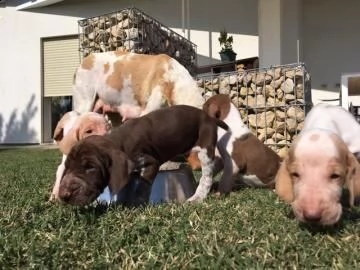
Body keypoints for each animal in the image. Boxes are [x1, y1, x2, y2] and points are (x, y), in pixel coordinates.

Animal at [58, 104, 229, 206]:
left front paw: (137, 204)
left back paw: (197, 197)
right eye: (68, 167)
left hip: (205, 148)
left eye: (90, 168)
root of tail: (209, 117)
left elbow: (142, 186)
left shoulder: (149, 163)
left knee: (206, 176)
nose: (63, 195)